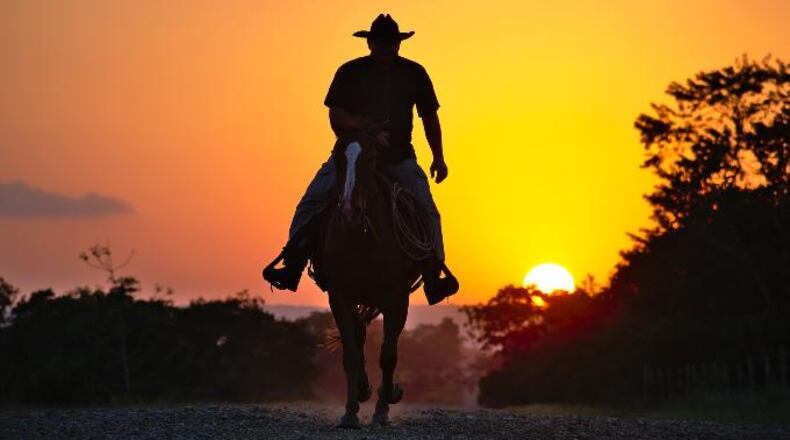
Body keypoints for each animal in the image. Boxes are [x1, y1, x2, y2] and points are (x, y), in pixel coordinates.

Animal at [316, 133, 422, 428]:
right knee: (359, 336)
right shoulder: (339, 296)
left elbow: (388, 356)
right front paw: (350, 412)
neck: (362, 236)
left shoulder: (396, 299)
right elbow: (351, 354)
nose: (349, 212)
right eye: (337, 157)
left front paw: (383, 409)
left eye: (371, 158)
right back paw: (363, 389)